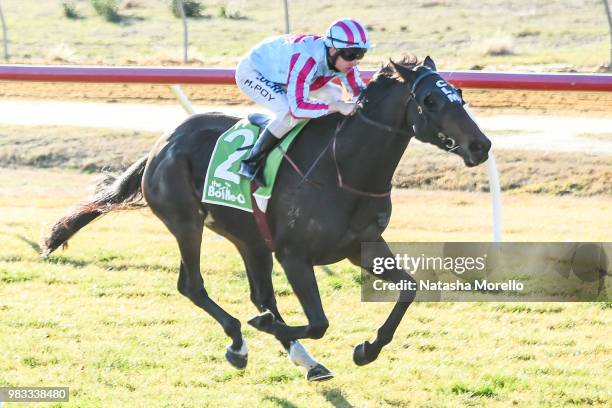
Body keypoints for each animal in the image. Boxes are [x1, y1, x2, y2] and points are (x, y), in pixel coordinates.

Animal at [41, 55, 492, 380]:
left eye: (460, 95)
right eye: (431, 100)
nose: (481, 145)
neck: (344, 170)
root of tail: (162, 144)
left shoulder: (362, 246)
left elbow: (409, 290)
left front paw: (367, 349)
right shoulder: (294, 256)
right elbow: (318, 322)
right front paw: (263, 329)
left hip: (249, 239)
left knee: (260, 294)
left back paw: (303, 359)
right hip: (187, 223)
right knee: (193, 286)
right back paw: (239, 342)